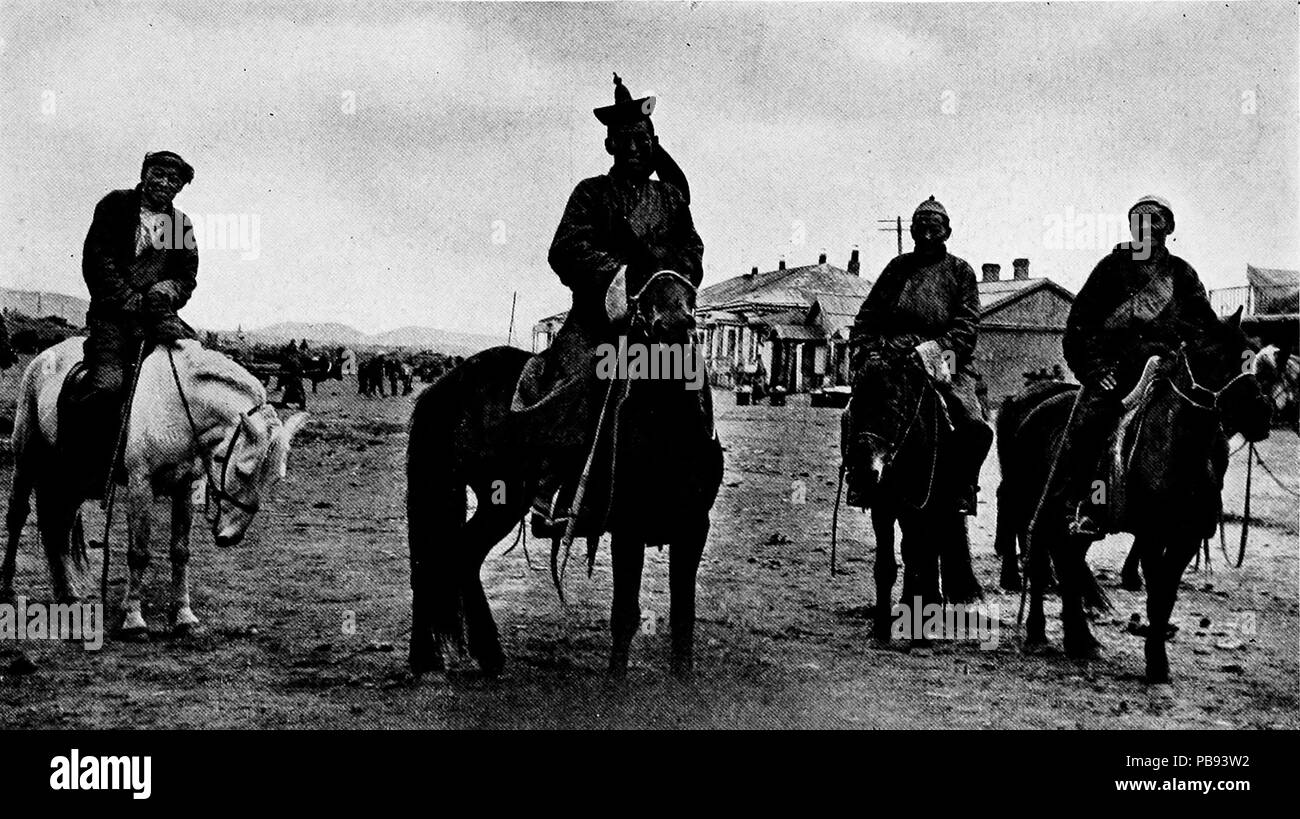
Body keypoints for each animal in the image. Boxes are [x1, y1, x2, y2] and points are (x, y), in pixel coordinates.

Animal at [0, 338, 305, 634]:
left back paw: (68, 595)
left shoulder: (184, 487)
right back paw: (8, 588)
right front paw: (133, 618)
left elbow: (180, 551)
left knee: (59, 528)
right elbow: (139, 552)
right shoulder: (140, 486)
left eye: (274, 480)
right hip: (26, 458)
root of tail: (45, 356)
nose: (231, 537)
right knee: (17, 517)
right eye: (242, 472)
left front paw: (183, 614)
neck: (177, 404)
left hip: (72, 477)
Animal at [842, 356, 977, 644]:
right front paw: (881, 627)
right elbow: (886, 565)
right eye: (855, 402)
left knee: (927, 551)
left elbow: (918, 558)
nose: (863, 475)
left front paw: (919, 627)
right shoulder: (884, 508)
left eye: (893, 406)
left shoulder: (920, 509)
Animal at [998, 310, 1274, 681]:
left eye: (1250, 354)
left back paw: (1080, 640)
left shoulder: (1186, 538)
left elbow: (1166, 595)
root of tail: (1030, 406)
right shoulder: (1152, 535)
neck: (1175, 448)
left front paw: (1157, 658)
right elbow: (1156, 593)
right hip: (1034, 506)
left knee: (1068, 561)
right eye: (1214, 357)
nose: (1261, 413)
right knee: (1042, 562)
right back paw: (1038, 632)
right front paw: (1156, 662)